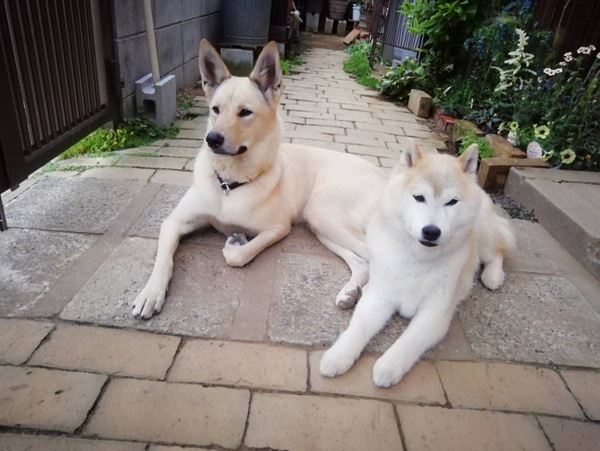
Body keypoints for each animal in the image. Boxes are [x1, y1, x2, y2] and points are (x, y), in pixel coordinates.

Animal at [132, 40, 386, 319]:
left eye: (245, 112)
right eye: (215, 109)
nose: (212, 139)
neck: (229, 184)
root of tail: (386, 177)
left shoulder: (278, 228)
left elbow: (239, 255)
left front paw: (234, 242)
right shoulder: (173, 222)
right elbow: (163, 258)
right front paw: (150, 293)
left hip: (323, 213)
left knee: (377, 257)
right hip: (321, 227)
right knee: (363, 262)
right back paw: (351, 293)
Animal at [320, 142, 515, 387]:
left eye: (452, 201)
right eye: (419, 197)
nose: (431, 231)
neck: (417, 259)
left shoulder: (435, 312)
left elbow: (408, 342)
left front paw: (388, 367)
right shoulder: (380, 297)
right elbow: (358, 329)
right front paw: (338, 356)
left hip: (483, 233)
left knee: (498, 251)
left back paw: (493, 276)